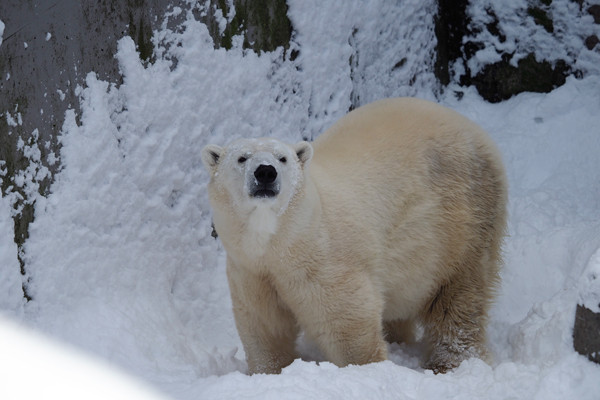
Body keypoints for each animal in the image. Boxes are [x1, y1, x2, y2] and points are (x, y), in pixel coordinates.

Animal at [200, 97, 506, 376]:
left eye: (282, 158)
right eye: (242, 158)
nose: (265, 172)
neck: (285, 242)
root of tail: (474, 130)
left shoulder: (325, 263)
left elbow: (346, 323)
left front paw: (365, 372)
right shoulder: (251, 270)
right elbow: (264, 325)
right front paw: (268, 373)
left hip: (463, 218)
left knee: (459, 294)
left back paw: (450, 363)